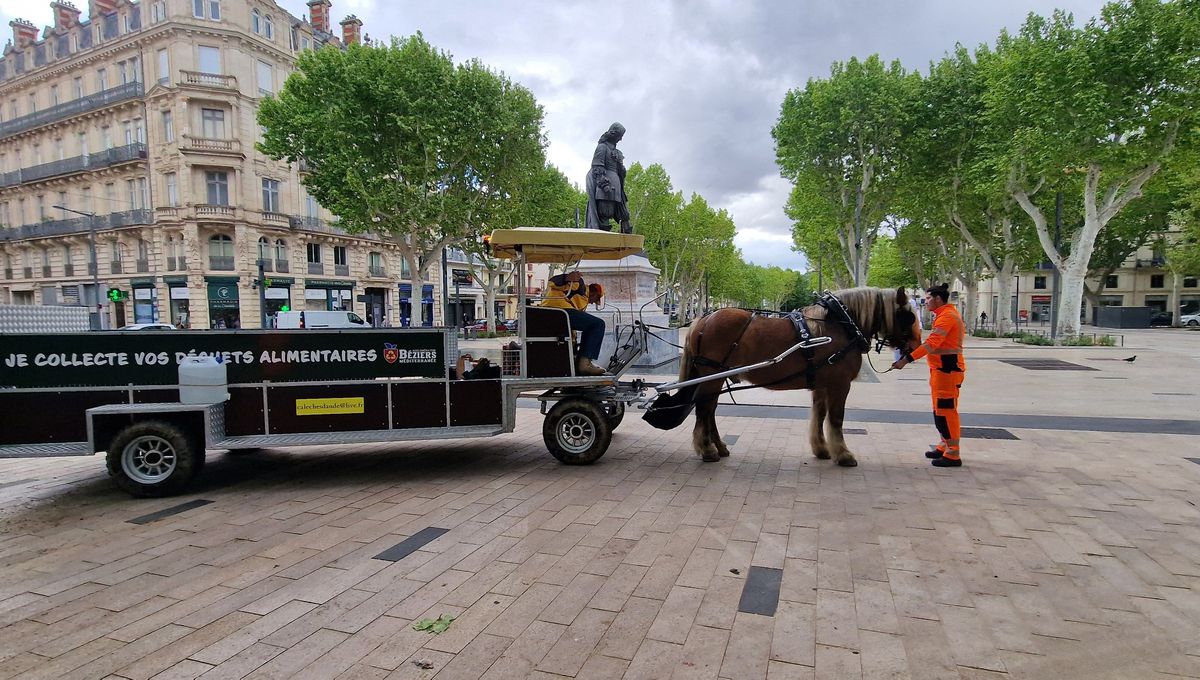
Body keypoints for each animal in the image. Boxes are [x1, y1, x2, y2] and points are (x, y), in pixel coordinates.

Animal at [681, 287, 921, 467]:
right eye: (908, 316)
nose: (916, 347)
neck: (840, 325)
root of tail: (702, 319)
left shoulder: (822, 386)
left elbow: (820, 415)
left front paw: (822, 448)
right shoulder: (840, 385)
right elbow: (836, 418)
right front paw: (843, 454)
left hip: (715, 377)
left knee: (710, 409)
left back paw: (719, 447)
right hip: (712, 376)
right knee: (704, 408)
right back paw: (707, 450)